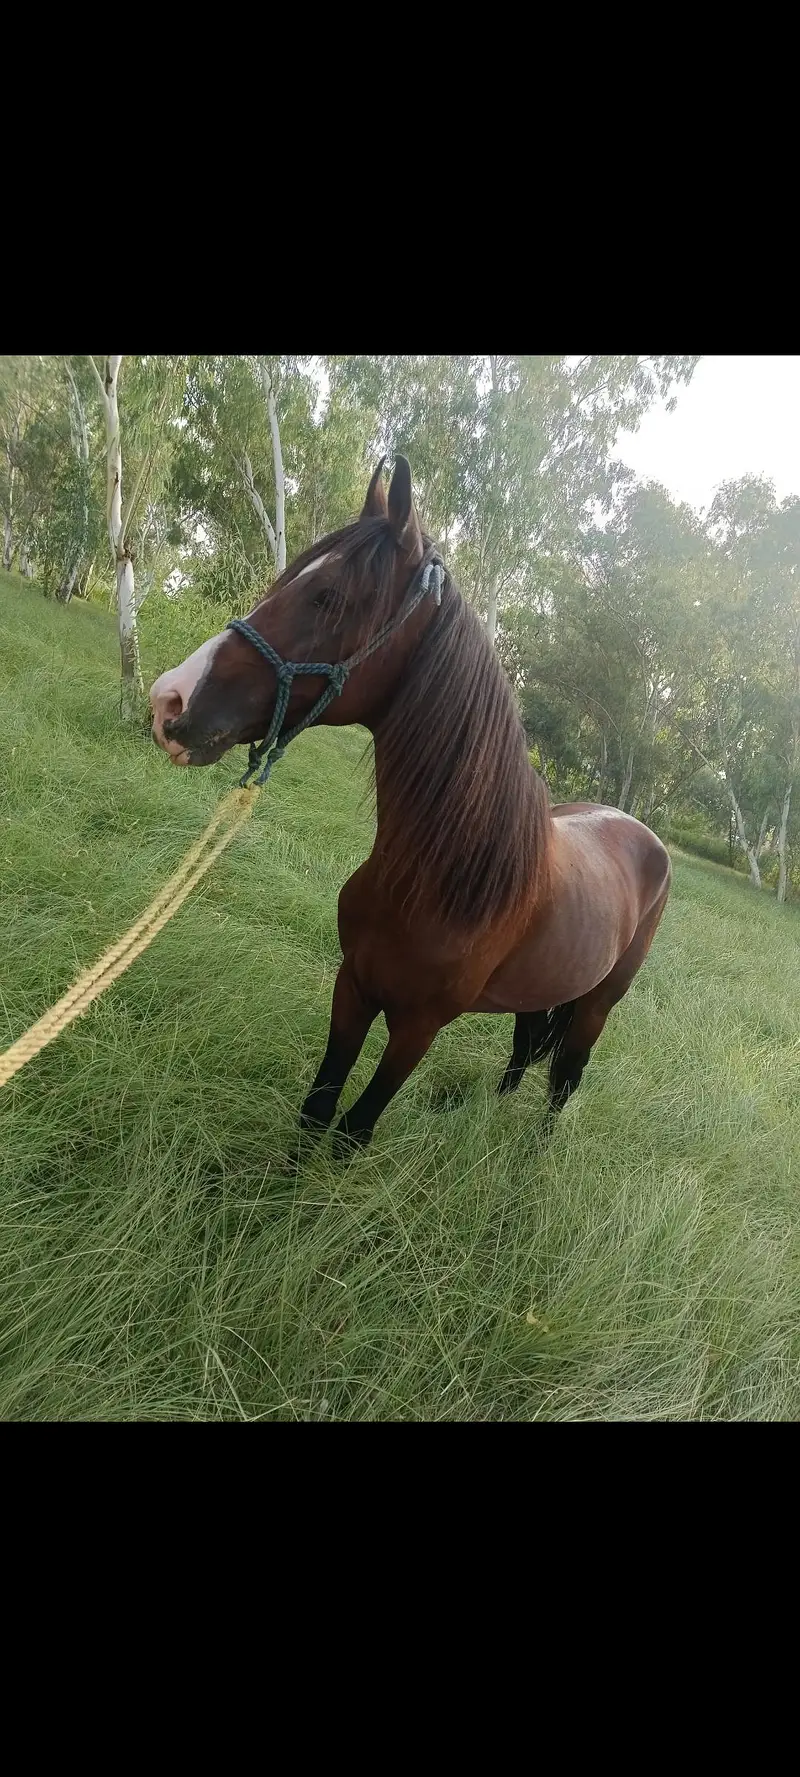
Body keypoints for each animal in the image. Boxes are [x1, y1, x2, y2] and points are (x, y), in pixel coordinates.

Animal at [150, 456, 671, 1157]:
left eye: (328, 597)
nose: (170, 701)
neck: (439, 878)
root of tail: (639, 830)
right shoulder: (353, 986)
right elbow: (316, 1111)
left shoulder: (417, 1027)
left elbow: (354, 1130)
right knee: (522, 1052)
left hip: (597, 1005)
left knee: (565, 1078)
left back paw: (529, 1157)